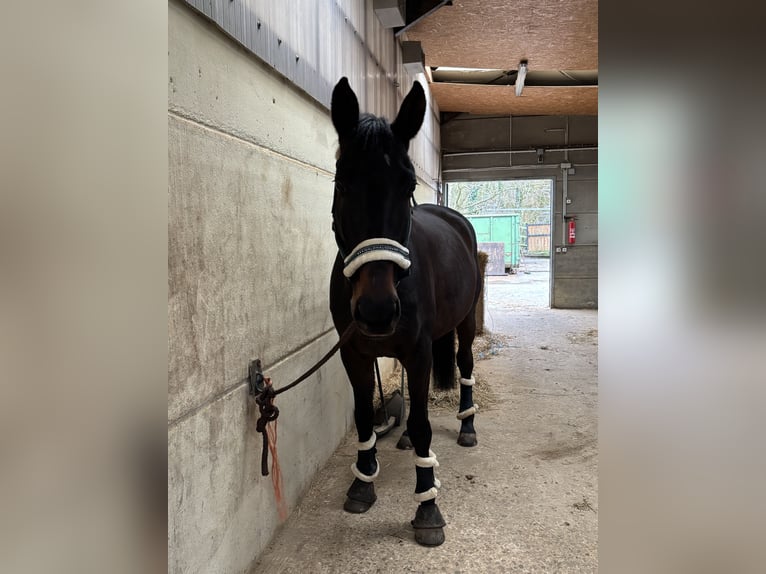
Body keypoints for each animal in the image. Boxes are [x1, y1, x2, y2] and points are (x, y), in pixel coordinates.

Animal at [328, 77, 484, 548]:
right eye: (343, 182)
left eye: (407, 183)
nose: (377, 310)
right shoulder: (354, 353)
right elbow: (365, 414)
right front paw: (362, 482)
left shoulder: (418, 351)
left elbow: (423, 423)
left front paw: (427, 506)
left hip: (464, 324)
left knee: (465, 365)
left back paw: (467, 426)